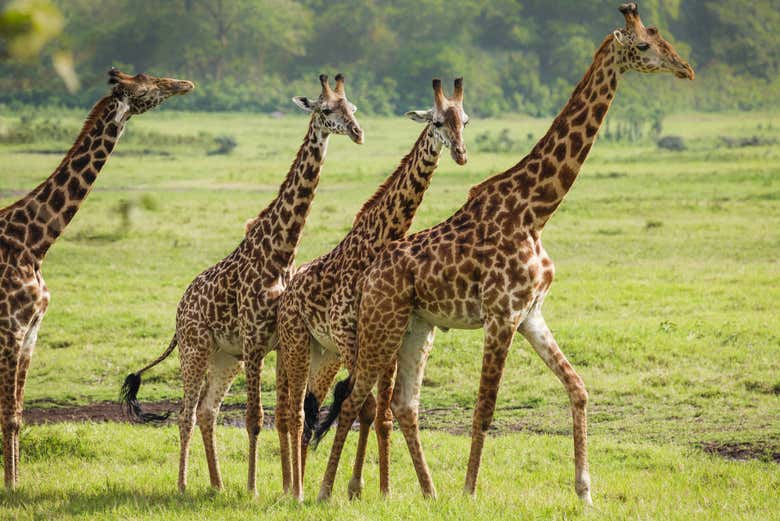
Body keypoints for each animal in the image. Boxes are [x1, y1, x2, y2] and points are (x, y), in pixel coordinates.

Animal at [0, 68, 193, 488]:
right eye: (148, 83)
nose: (184, 84)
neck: (35, 243)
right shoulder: (10, 330)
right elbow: (6, 415)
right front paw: (10, 486)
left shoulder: (30, 333)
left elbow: (16, 416)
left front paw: (16, 485)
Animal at [120, 73, 364, 492]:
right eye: (325, 109)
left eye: (352, 108)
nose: (357, 131)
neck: (281, 254)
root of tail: (179, 311)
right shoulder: (253, 340)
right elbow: (255, 418)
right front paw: (253, 489)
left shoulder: (277, 342)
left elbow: (286, 413)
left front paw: (284, 486)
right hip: (195, 349)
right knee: (185, 412)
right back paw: (183, 484)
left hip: (225, 357)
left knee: (207, 410)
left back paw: (216, 484)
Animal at [278, 77, 466, 500]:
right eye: (437, 122)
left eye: (464, 120)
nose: (461, 154)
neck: (377, 242)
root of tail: (288, 290)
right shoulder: (352, 339)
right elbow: (362, 406)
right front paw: (347, 487)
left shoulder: (387, 346)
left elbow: (382, 415)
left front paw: (378, 489)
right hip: (297, 345)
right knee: (291, 409)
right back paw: (293, 489)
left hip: (324, 354)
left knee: (310, 406)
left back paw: (301, 481)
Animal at [314, 2, 692, 502]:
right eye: (646, 45)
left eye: (663, 36)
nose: (686, 69)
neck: (536, 210)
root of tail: (368, 273)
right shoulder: (501, 315)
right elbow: (485, 408)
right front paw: (470, 491)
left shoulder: (530, 313)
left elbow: (578, 387)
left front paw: (585, 491)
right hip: (383, 323)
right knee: (358, 399)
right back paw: (329, 491)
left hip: (416, 327)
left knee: (401, 403)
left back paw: (422, 491)